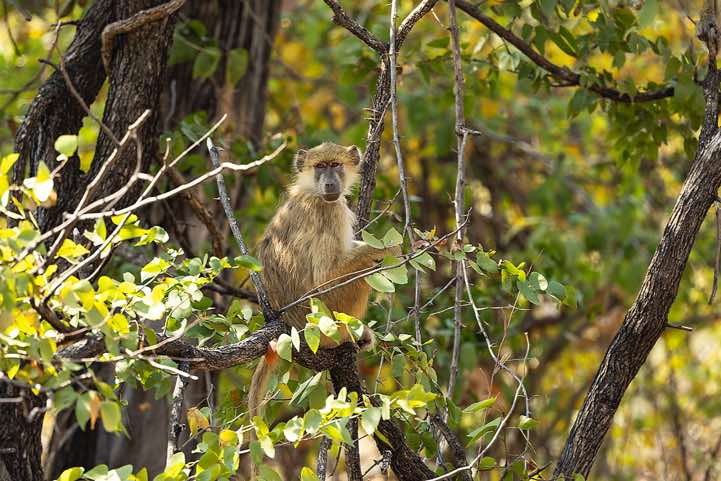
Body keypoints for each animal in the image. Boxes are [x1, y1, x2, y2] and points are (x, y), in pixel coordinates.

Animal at [246, 142, 401, 471]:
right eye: (320, 167)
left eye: (335, 165)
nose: (330, 184)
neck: (312, 192)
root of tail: (292, 327)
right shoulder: (328, 211)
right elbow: (325, 277)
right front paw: (391, 247)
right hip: (325, 319)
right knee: (362, 274)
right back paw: (346, 335)